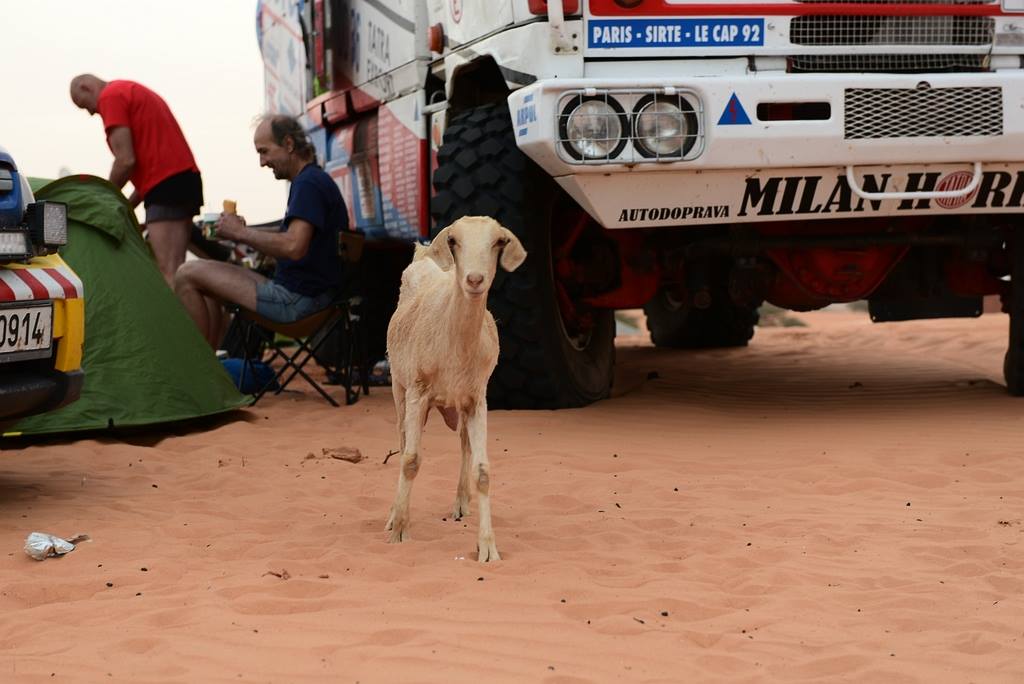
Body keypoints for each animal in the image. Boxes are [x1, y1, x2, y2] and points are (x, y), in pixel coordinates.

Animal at [385, 215, 528, 561]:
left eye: (498, 242)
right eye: (454, 241)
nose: (474, 279)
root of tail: (424, 254)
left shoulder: (477, 398)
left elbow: (483, 471)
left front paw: (487, 546)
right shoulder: (418, 391)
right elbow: (410, 460)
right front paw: (399, 531)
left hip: (460, 404)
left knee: (463, 444)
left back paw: (461, 503)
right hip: (399, 387)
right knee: (402, 441)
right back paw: (393, 514)